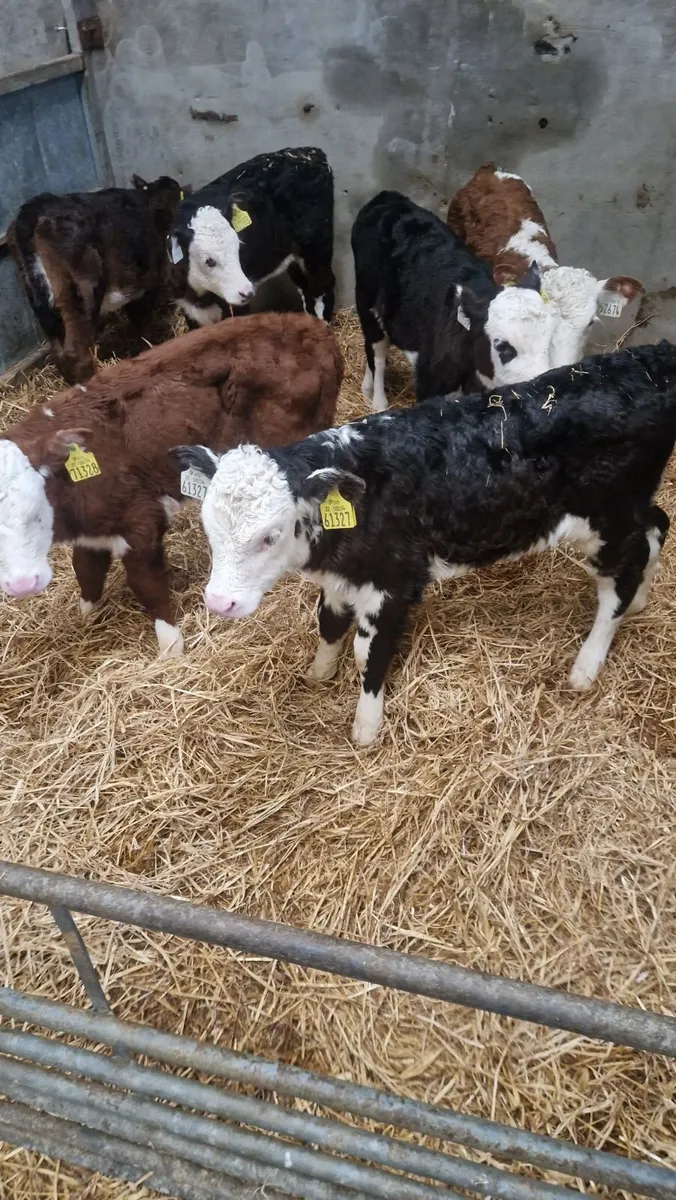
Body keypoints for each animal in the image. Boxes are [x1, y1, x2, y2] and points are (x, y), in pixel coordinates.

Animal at [0, 313, 342, 657]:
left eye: (37, 505)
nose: (22, 584)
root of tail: (313, 329)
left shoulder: (141, 520)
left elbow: (145, 584)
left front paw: (171, 647)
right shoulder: (93, 529)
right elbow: (86, 571)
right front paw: (86, 619)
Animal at [8, 175, 184, 385]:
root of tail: (34, 211)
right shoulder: (148, 283)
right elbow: (141, 323)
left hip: (39, 299)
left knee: (58, 352)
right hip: (81, 292)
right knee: (76, 353)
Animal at [169, 147, 335, 329]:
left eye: (238, 248)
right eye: (209, 260)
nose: (247, 292)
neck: (202, 295)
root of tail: (309, 153)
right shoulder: (187, 306)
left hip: (316, 246)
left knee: (322, 284)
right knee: (304, 285)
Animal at [174, 341, 676, 746]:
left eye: (271, 535)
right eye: (208, 528)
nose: (218, 603)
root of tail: (648, 358)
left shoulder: (394, 581)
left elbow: (367, 653)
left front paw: (367, 726)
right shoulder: (342, 575)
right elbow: (329, 624)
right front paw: (319, 673)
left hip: (608, 517)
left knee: (621, 575)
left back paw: (587, 664)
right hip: (631, 506)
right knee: (656, 527)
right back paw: (640, 601)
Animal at [351, 190, 556, 412]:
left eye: (550, 339)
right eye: (502, 346)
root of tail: (387, 197)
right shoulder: (429, 382)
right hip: (367, 304)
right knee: (377, 354)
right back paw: (378, 403)